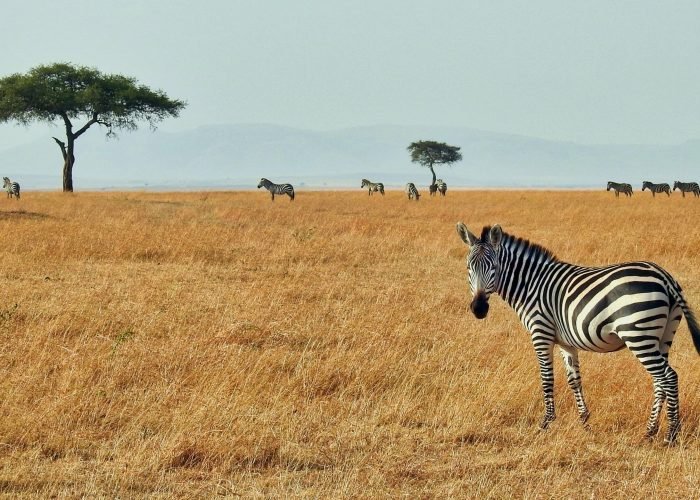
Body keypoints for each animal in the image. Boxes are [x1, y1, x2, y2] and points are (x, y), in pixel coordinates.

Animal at [454, 225, 700, 444]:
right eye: (468, 267)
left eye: (493, 266)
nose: (478, 309)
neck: (530, 285)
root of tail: (664, 276)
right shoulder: (566, 342)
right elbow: (574, 380)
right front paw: (584, 422)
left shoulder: (541, 332)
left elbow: (547, 379)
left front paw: (546, 423)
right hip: (663, 335)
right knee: (660, 380)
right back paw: (650, 432)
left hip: (638, 334)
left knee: (668, 377)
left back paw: (670, 435)